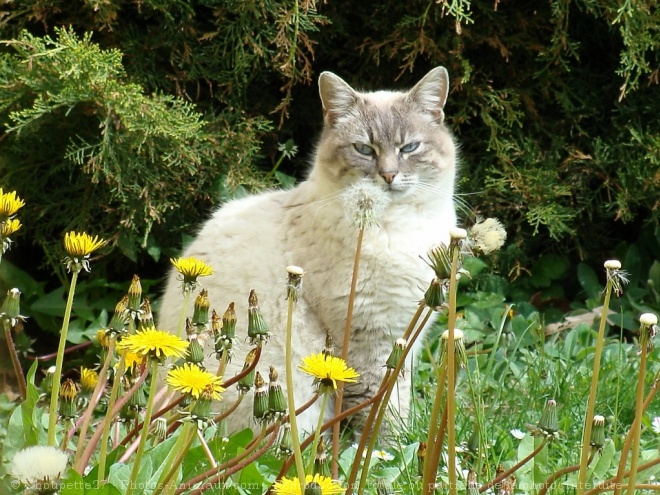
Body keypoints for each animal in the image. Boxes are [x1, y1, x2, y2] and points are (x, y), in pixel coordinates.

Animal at [159, 68, 458, 436]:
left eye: (410, 147)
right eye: (364, 149)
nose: (388, 175)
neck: (396, 226)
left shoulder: (404, 338)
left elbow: (394, 404)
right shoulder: (368, 340)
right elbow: (376, 412)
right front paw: (382, 450)